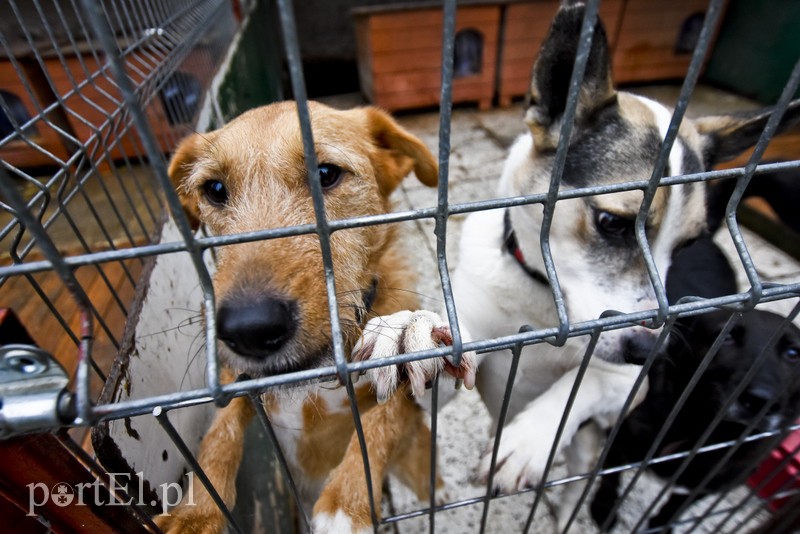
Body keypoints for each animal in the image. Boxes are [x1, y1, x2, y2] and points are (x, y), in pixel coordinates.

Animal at [155, 102, 476, 532]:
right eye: (215, 190)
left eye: (326, 173)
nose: (249, 329)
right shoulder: (240, 381)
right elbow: (219, 433)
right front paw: (195, 514)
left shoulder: (402, 401)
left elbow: (382, 418)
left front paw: (345, 502)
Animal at [588, 240, 800, 534]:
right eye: (725, 337)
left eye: (793, 354)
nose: (760, 399)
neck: (700, 427)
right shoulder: (622, 440)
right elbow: (610, 480)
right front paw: (604, 509)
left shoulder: (708, 483)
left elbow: (674, 508)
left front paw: (660, 526)